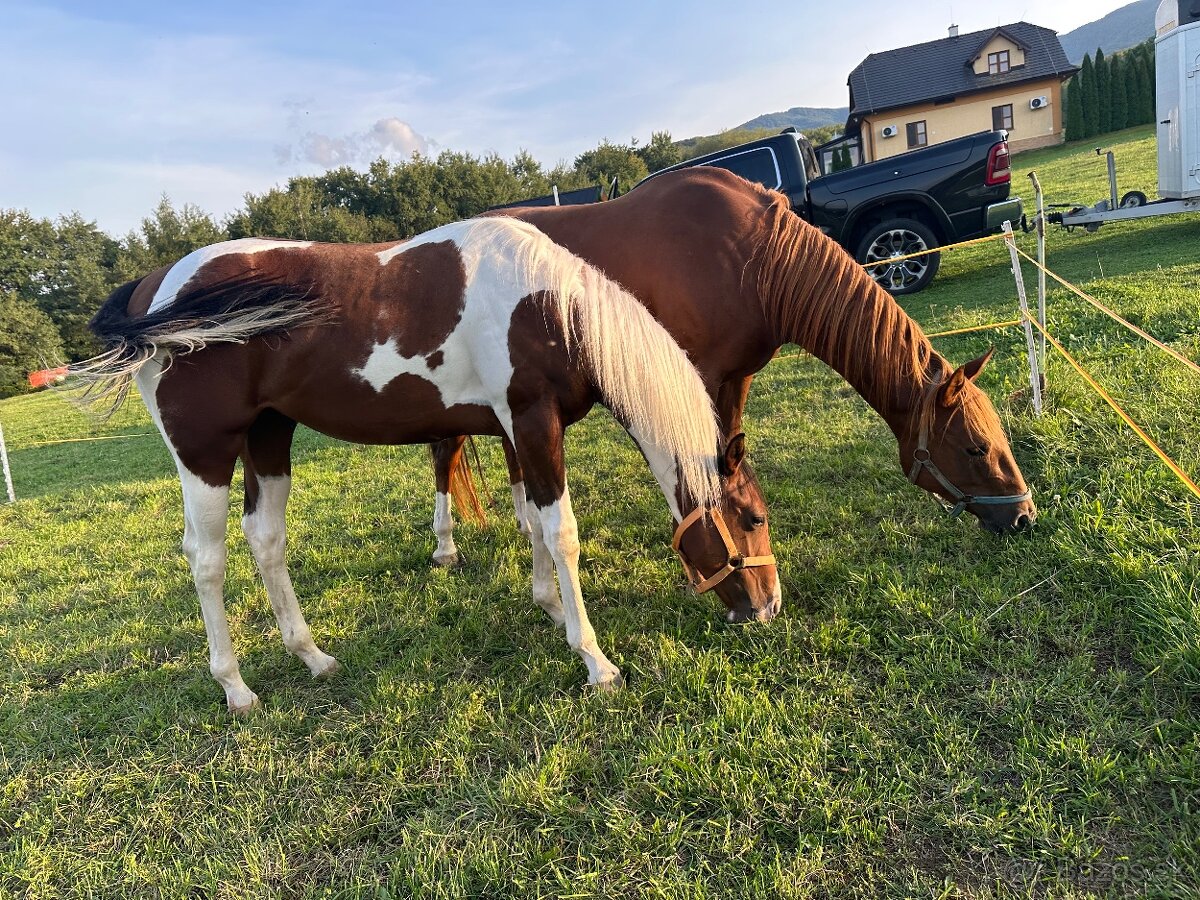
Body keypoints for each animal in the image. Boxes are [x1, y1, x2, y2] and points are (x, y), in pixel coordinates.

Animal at [71, 216, 779, 714]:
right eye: (751, 519)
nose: (767, 608)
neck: (545, 305)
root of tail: (149, 290)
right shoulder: (532, 420)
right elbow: (561, 533)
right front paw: (595, 660)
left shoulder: (515, 427)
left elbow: (532, 524)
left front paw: (550, 608)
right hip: (206, 456)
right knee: (207, 559)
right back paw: (236, 687)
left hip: (270, 438)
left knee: (266, 540)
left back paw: (312, 656)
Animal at [427, 167, 1035, 563]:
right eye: (975, 448)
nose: (1024, 517)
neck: (755, 262)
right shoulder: (702, 376)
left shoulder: (738, 375)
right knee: (445, 452)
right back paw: (446, 547)